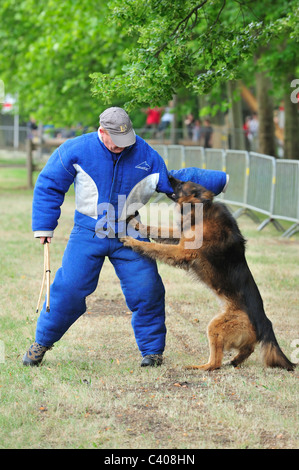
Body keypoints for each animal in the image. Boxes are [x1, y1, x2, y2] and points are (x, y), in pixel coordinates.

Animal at [121, 176, 296, 370]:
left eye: (181, 184)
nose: (169, 176)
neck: (202, 208)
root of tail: (265, 321)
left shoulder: (182, 251)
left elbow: (155, 246)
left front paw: (134, 242)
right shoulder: (181, 237)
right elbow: (157, 229)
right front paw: (136, 223)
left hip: (215, 326)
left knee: (215, 363)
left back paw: (198, 367)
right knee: (248, 348)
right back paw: (234, 361)